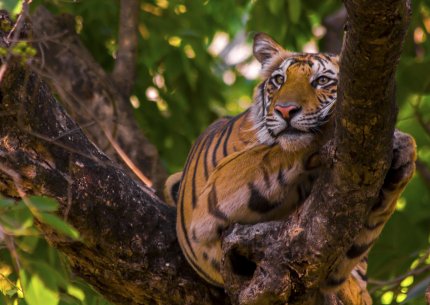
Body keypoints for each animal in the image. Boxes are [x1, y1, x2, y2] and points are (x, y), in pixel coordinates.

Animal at [163, 32, 414, 302]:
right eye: (279, 80)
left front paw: (404, 151)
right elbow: (273, 154)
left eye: (322, 81)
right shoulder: (210, 200)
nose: (285, 110)